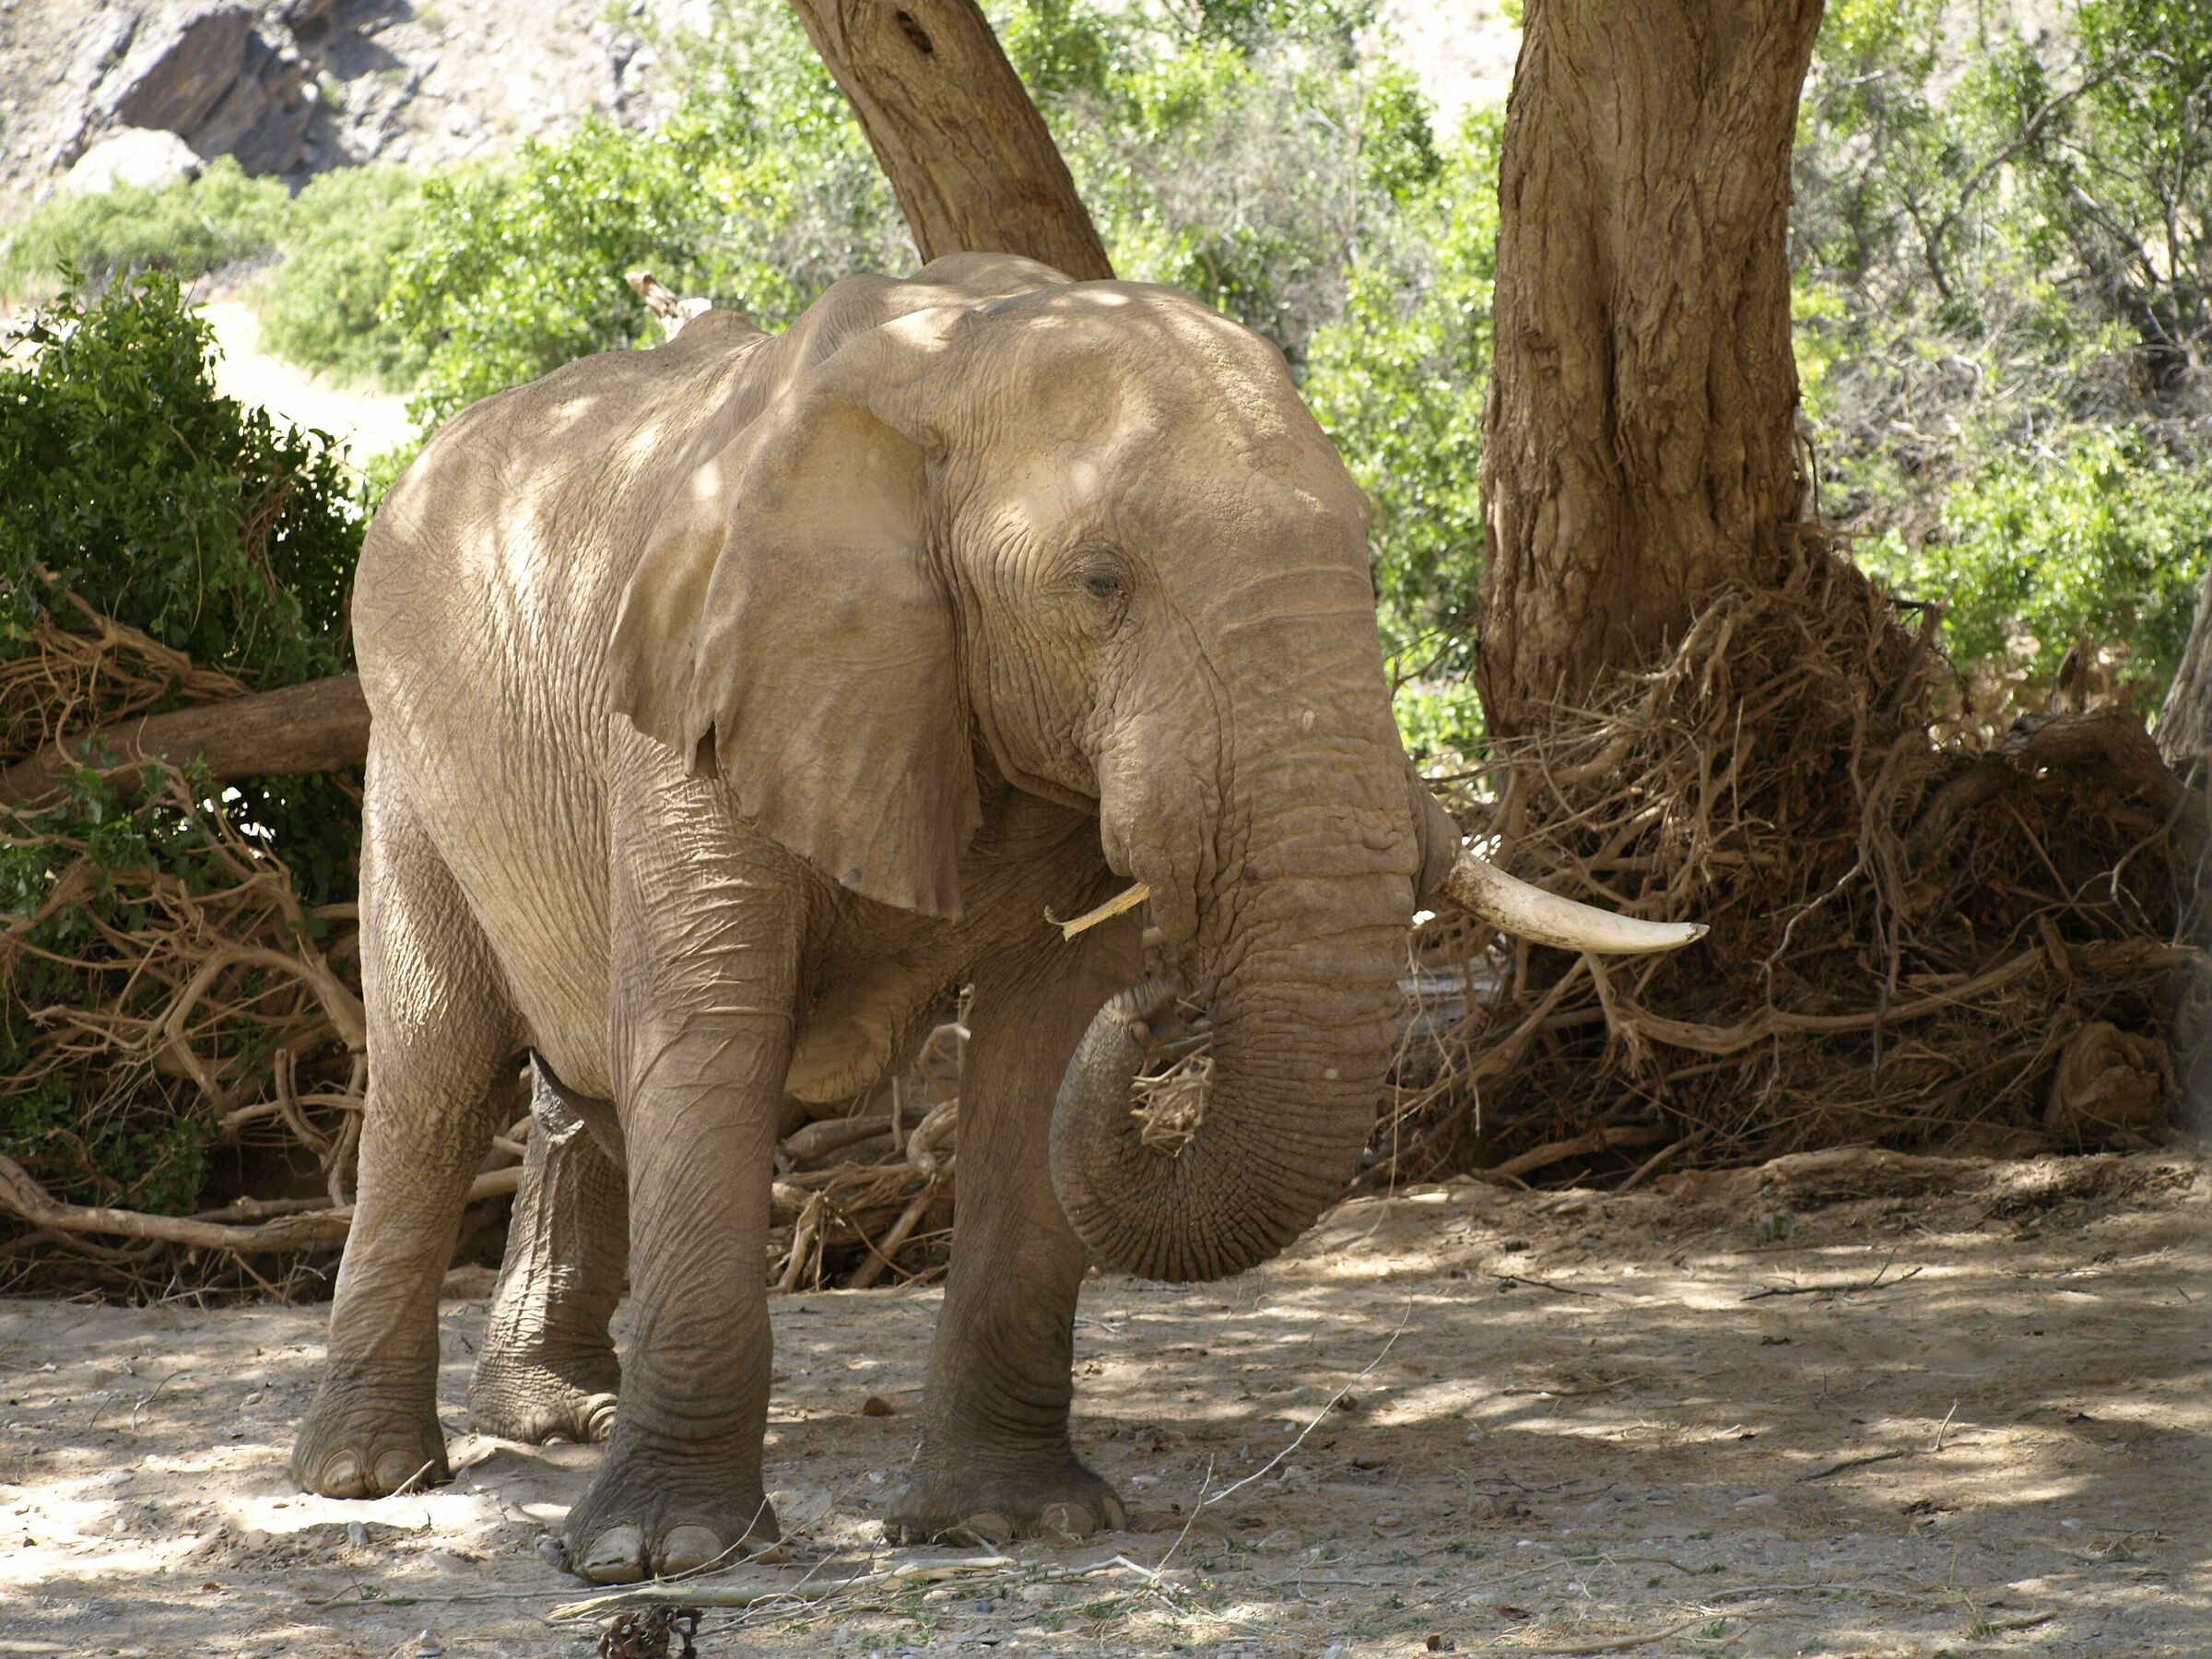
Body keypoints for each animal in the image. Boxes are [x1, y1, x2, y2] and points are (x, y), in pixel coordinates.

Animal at [291, 252, 1699, 1584]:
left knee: (573, 1085)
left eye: (1365, 559)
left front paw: (1013, 1525)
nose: (1166, 1000)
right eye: (1100, 582)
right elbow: (710, 1035)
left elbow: (1040, 1045)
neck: (951, 364)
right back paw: (370, 1472)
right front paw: (660, 1555)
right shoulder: (702, 690)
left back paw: (559, 1417)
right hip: (404, 757)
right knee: (439, 1072)